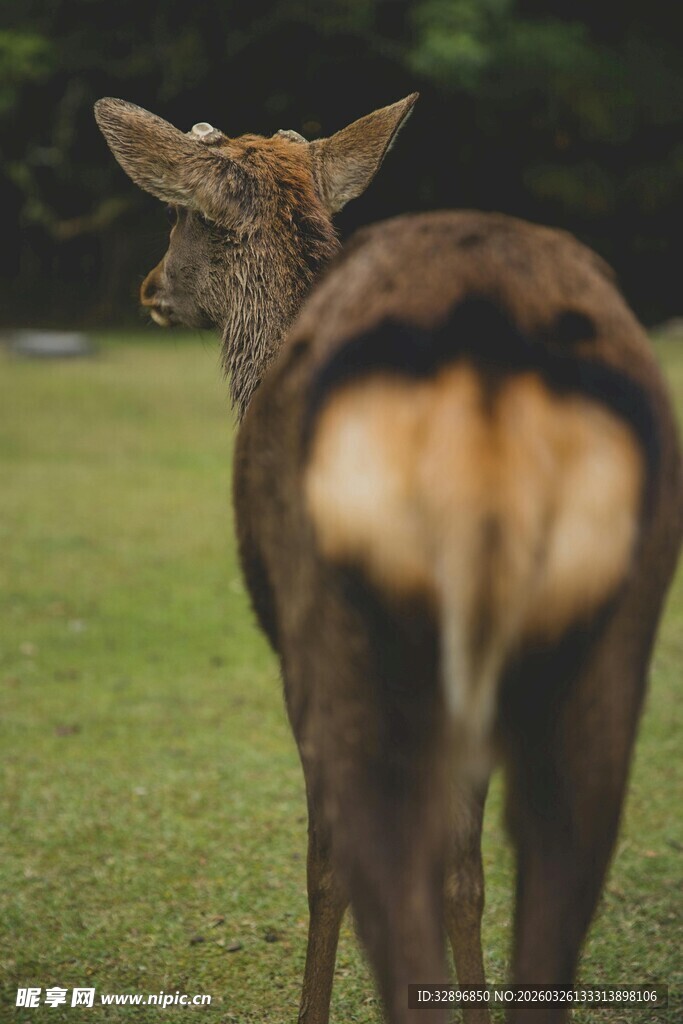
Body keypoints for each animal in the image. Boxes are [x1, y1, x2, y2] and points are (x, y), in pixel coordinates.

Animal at [94, 93, 682, 1024]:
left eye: (180, 215)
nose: (149, 289)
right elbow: (465, 879)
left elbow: (328, 866)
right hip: (614, 633)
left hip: (349, 629)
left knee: (367, 866)